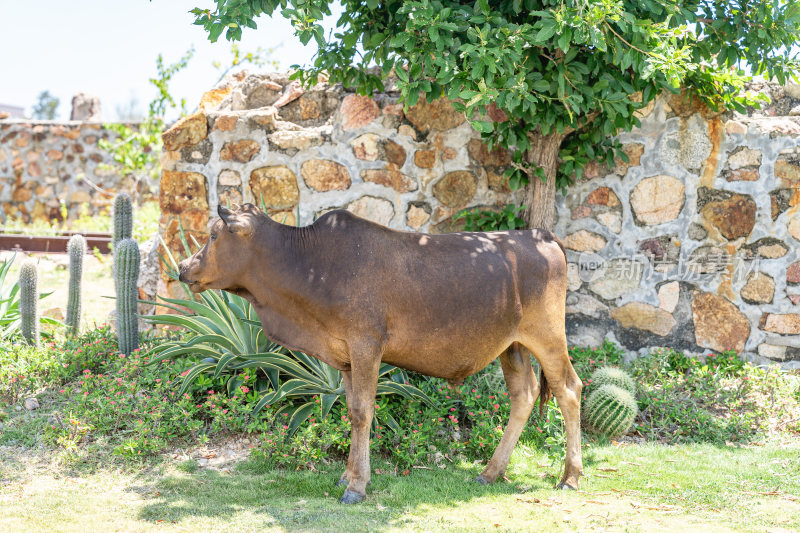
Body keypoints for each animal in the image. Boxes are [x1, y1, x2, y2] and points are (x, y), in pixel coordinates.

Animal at [180, 202, 580, 500]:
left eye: (214, 234)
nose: (183, 266)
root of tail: (542, 236)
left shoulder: (365, 345)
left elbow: (362, 412)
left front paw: (357, 486)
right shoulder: (343, 356)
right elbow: (350, 409)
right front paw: (347, 476)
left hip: (547, 335)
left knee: (568, 389)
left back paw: (570, 477)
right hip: (512, 345)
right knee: (524, 394)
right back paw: (491, 472)